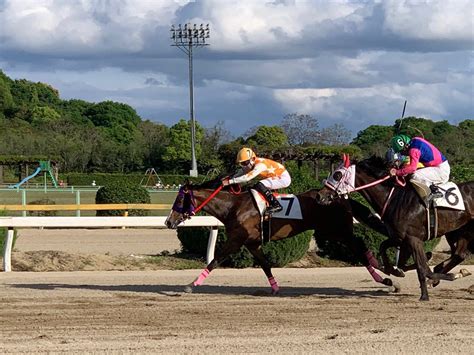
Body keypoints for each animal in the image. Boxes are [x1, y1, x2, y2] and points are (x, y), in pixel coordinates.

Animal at [165, 179, 398, 296]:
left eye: (180, 200)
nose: (168, 221)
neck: (233, 207)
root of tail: (341, 198)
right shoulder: (252, 243)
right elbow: (265, 264)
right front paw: (275, 287)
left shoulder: (236, 241)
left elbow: (214, 260)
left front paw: (191, 284)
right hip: (331, 231)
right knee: (359, 245)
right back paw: (385, 271)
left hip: (336, 229)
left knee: (358, 246)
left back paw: (385, 277)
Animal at [314, 156, 474, 300]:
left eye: (337, 174)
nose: (319, 196)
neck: (395, 198)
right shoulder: (400, 237)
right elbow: (384, 248)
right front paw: (394, 271)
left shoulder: (414, 238)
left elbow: (422, 267)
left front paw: (425, 295)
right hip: (462, 231)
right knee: (460, 254)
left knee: (458, 255)